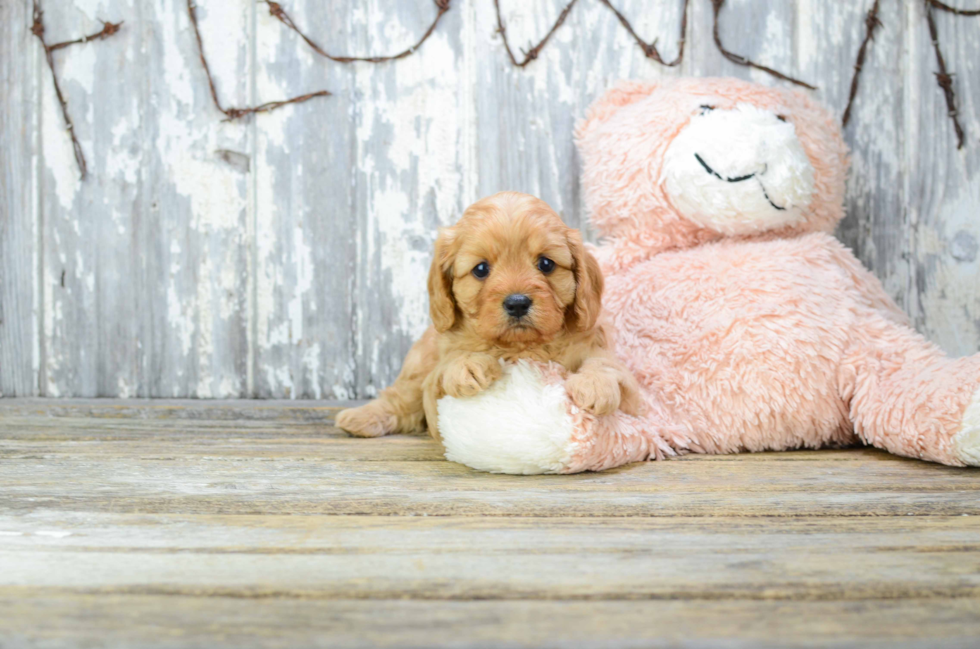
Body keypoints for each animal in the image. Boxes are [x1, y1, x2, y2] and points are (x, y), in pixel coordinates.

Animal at [336, 189, 644, 440]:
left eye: (546, 264)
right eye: (481, 269)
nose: (517, 303)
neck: (521, 347)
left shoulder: (633, 400)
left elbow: (606, 365)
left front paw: (595, 384)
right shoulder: (433, 396)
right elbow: (446, 370)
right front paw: (468, 365)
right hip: (417, 366)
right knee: (400, 399)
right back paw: (360, 418)